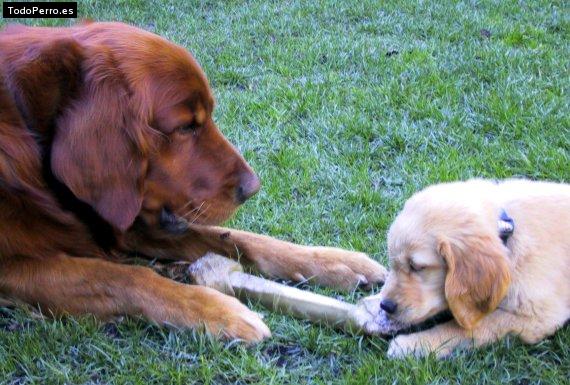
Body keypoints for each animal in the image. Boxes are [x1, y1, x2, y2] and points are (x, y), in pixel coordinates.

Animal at [0, 22, 384, 340]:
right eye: (185, 126)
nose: (253, 188)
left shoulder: (125, 215)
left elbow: (238, 238)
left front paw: (331, 261)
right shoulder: (14, 268)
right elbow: (119, 276)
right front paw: (215, 310)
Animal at [362, 179, 564, 356]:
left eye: (417, 266)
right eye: (393, 264)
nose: (386, 305)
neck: (507, 232)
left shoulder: (538, 317)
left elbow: (472, 327)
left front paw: (413, 344)